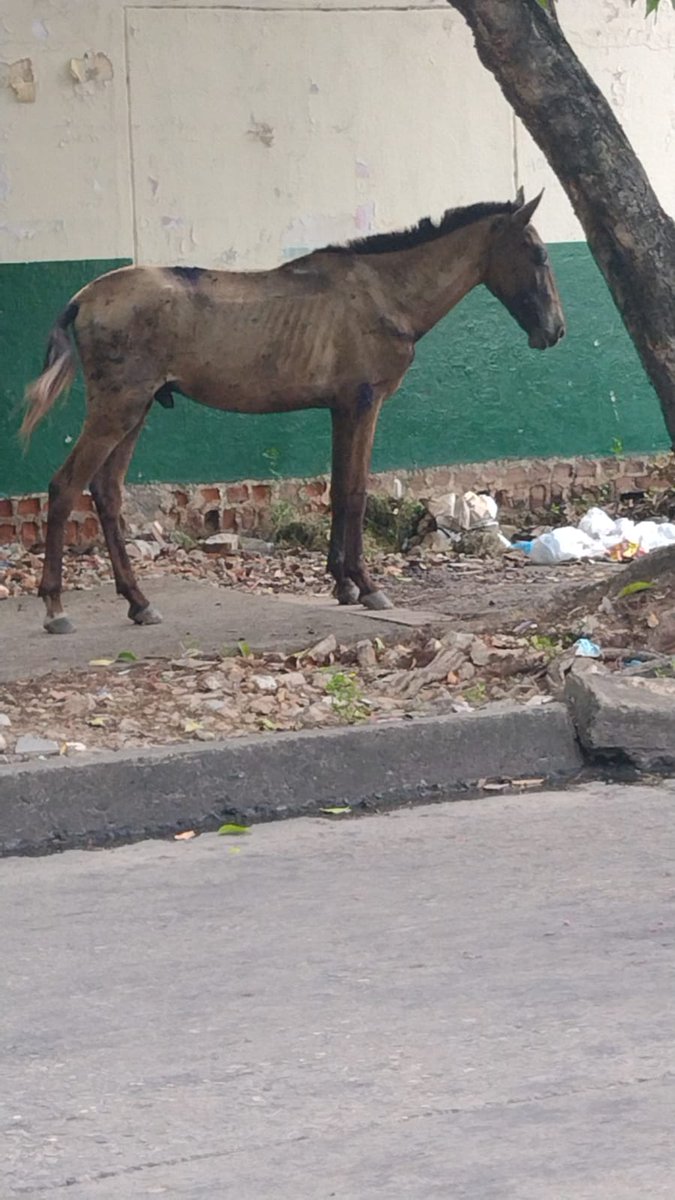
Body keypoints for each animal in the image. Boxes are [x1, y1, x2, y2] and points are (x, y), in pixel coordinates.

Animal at [22, 189, 564, 634]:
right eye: (538, 254)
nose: (555, 330)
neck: (384, 293)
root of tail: (83, 298)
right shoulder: (363, 404)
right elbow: (355, 492)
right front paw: (367, 586)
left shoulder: (342, 410)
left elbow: (340, 490)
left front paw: (343, 583)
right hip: (119, 408)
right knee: (65, 488)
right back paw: (55, 608)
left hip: (135, 412)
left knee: (107, 494)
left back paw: (139, 601)